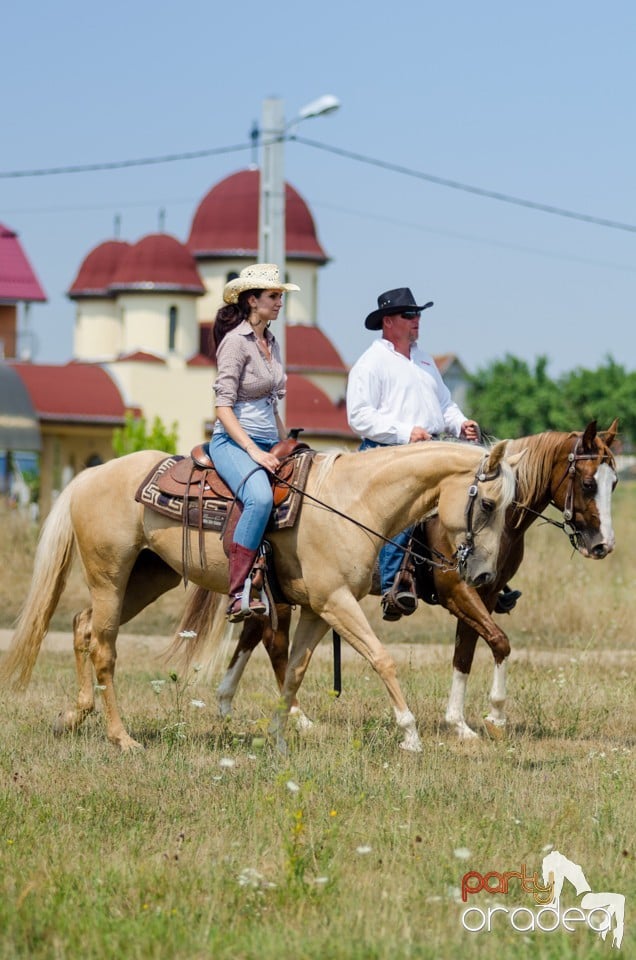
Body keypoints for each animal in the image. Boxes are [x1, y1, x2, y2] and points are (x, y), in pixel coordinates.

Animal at [0, 438, 520, 752]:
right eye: (488, 503)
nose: (484, 574)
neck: (352, 501)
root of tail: (89, 476)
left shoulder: (317, 610)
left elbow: (293, 673)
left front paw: (279, 737)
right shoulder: (336, 602)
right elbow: (381, 659)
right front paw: (410, 735)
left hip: (146, 579)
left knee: (82, 626)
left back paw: (74, 715)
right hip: (110, 575)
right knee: (104, 646)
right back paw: (122, 737)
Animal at [206, 418, 620, 736]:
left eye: (614, 483)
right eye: (588, 483)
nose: (603, 544)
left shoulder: (484, 593)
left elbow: (467, 652)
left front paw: (460, 723)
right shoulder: (458, 591)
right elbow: (499, 642)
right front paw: (495, 715)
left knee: (254, 633)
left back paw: (227, 702)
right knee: (273, 643)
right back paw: (294, 717)